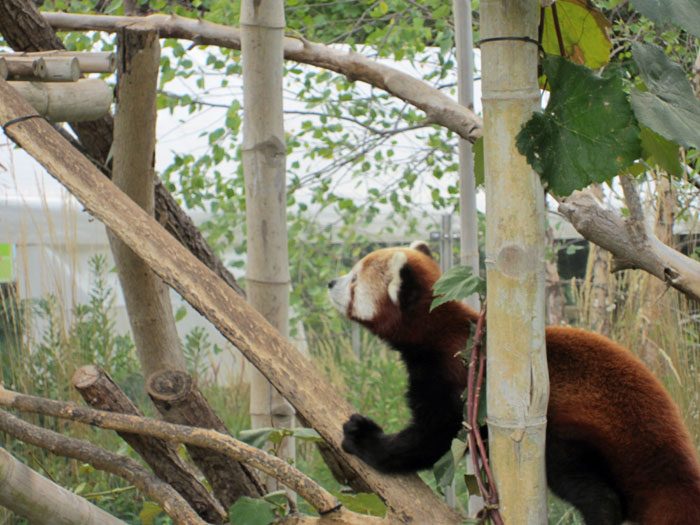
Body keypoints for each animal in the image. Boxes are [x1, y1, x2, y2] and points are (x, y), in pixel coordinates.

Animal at [328, 242, 700, 524]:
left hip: (575, 429)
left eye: (354, 280)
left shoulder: (458, 379)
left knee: (589, 487)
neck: (442, 332)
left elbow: (430, 439)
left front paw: (364, 439)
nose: (331, 282)